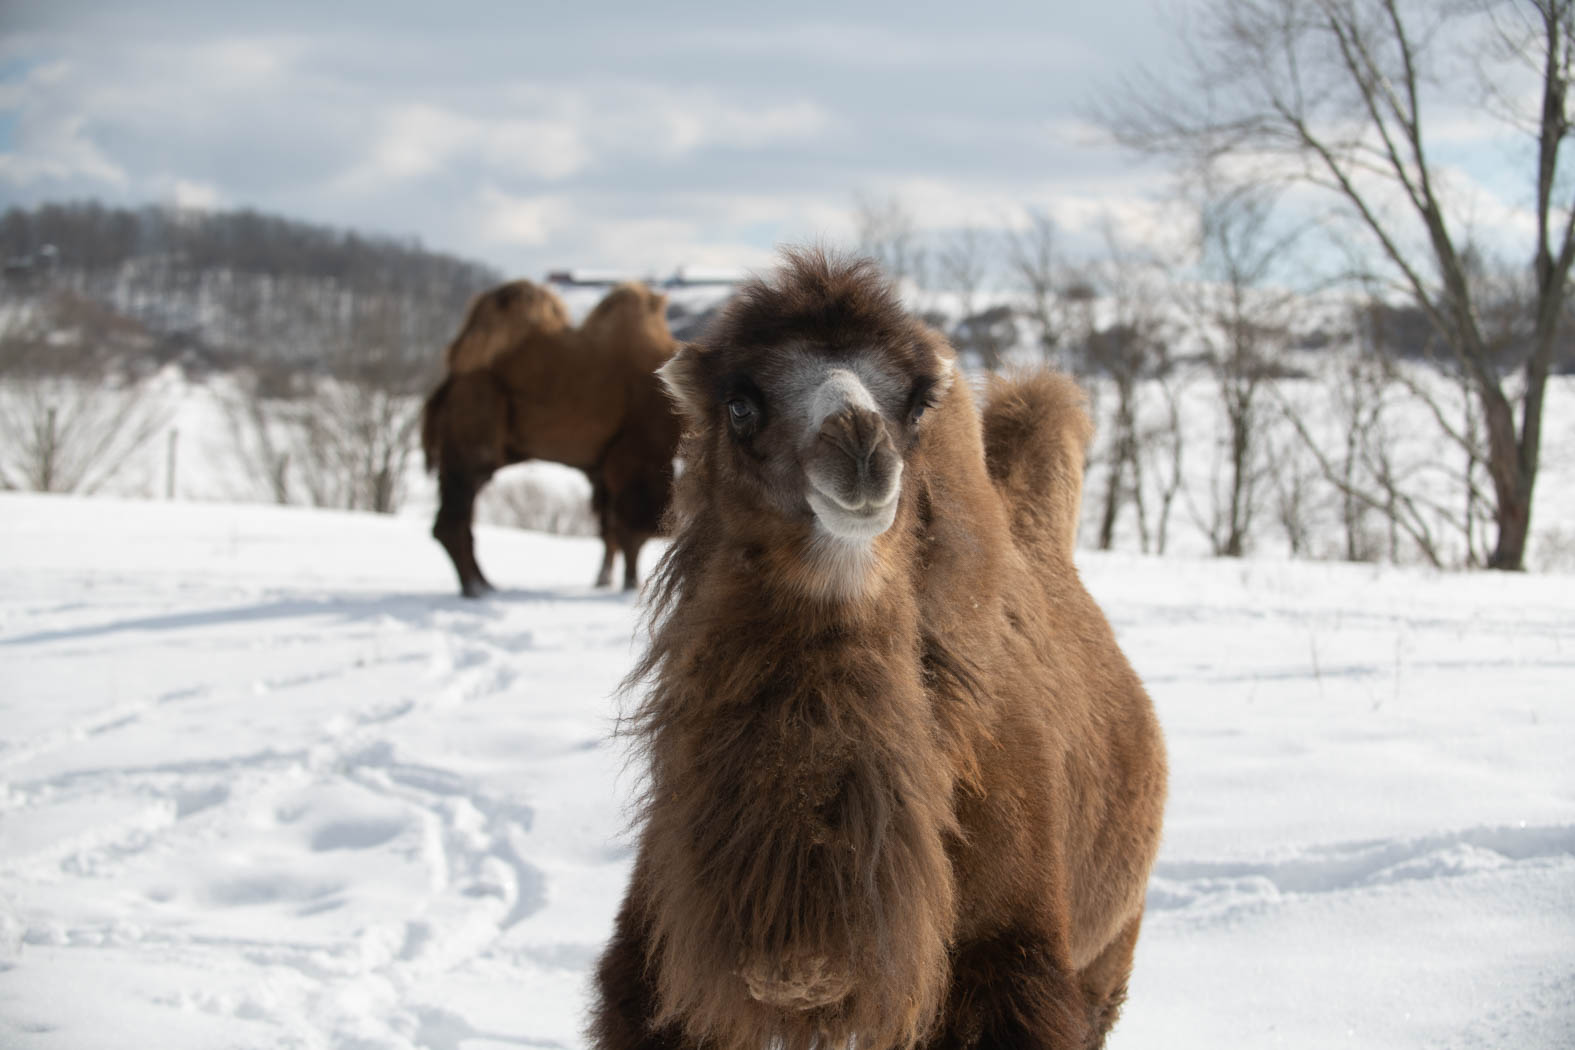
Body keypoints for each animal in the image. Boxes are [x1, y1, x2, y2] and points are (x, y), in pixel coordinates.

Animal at [418, 278, 683, 595]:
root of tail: (448, 385)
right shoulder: (637, 454)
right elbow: (632, 530)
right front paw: (631, 584)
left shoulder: (603, 466)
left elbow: (608, 529)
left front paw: (604, 580)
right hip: (475, 420)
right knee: (455, 515)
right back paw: (475, 589)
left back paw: (485, 584)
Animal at [585, 251, 1165, 1050]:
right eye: (740, 405)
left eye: (916, 404)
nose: (860, 444)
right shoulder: (659, 972)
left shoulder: (1008, 967)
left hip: (1108, 950)